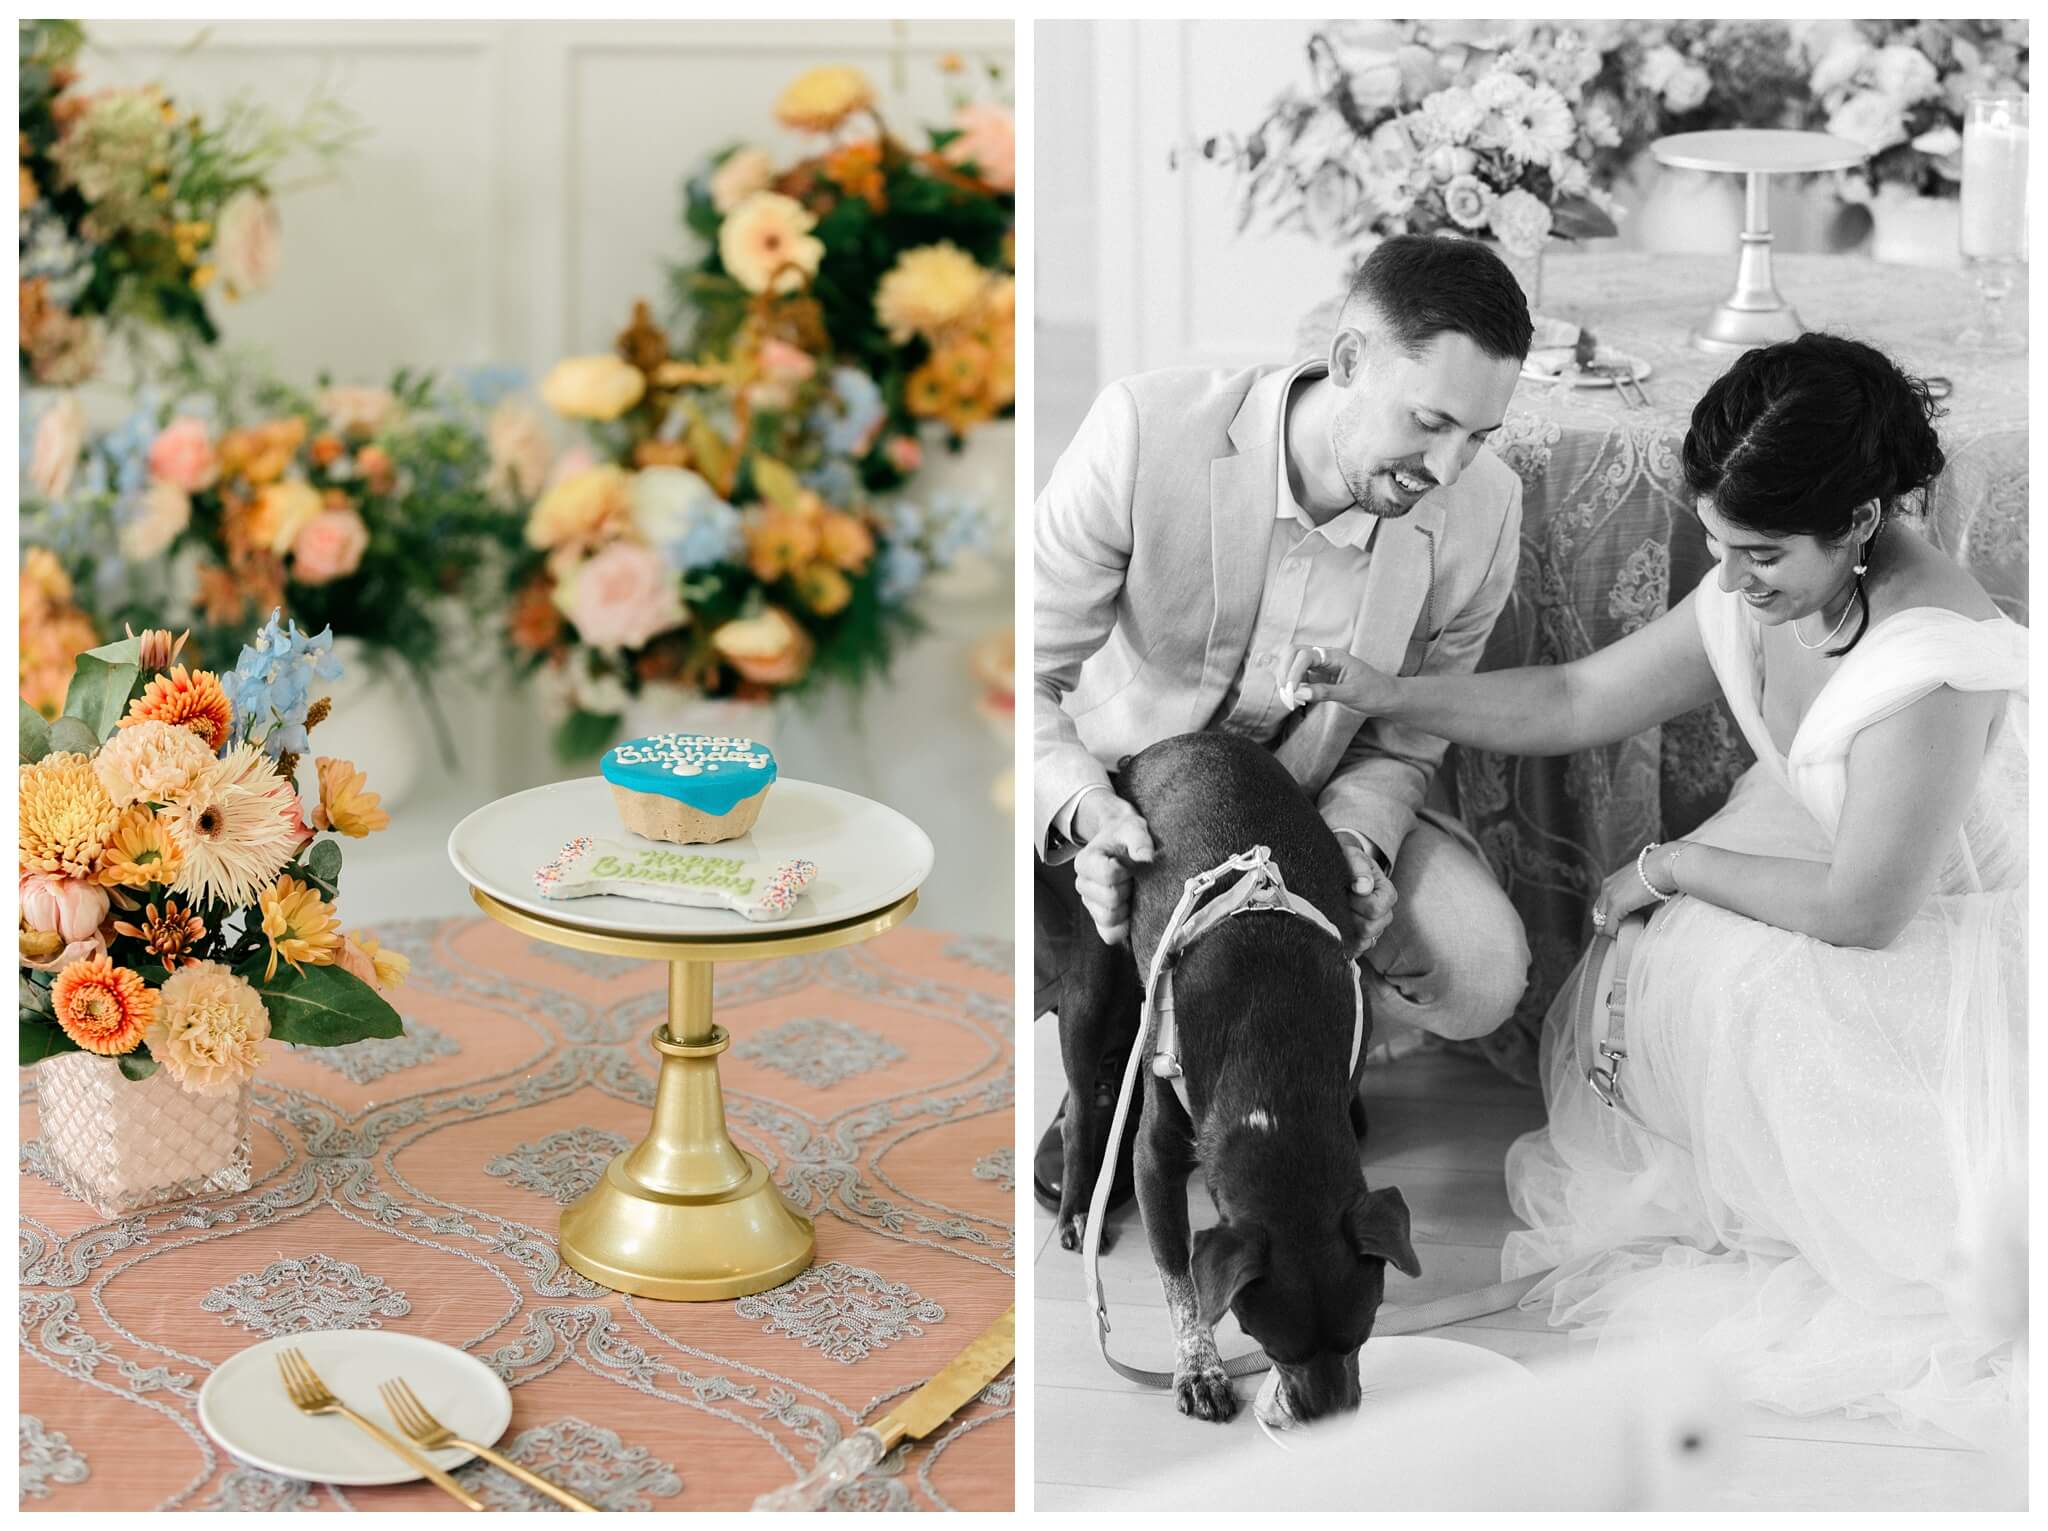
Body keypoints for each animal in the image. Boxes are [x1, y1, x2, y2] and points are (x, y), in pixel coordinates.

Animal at [1064, 736, 1417, 1432]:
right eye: (1274, 1348)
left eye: (1361, 1335)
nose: (1331, 1421)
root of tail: (1167, 745)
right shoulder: (1153, 1155)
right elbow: (1180, 1281)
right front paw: (1198, 1368)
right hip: (1092, 979)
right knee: (1082, 1111)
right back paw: (1078, 1206)